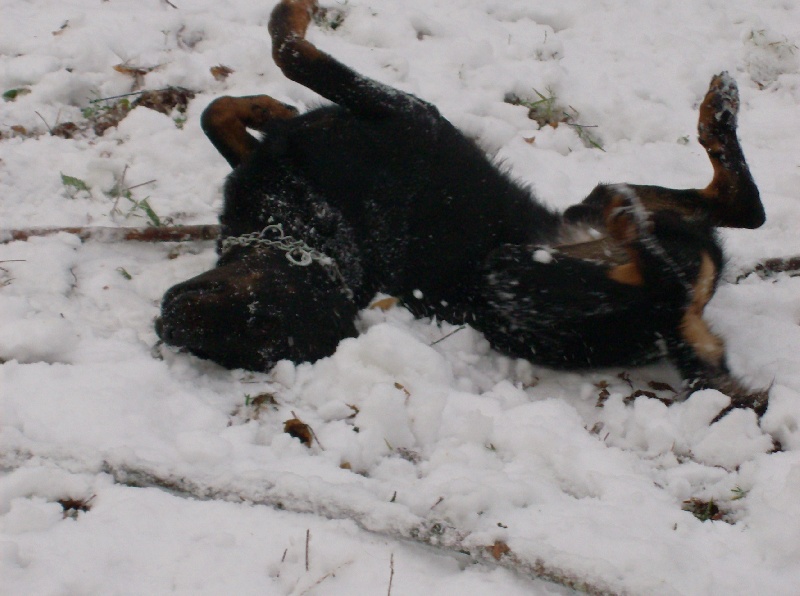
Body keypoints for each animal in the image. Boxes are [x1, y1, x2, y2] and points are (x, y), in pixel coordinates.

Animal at [156, 0, 768, 410]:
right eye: (251, 326)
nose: (167, 322)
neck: (308, 228)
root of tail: (674, 327)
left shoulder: (391, 116)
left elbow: (231, 104)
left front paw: (266, 105)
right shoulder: (409, 112)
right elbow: (290, 51)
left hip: (584, 209)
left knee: (735, 207)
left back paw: (715, 115)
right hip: (514, 274)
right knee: (704, 237)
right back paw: (659, 185)